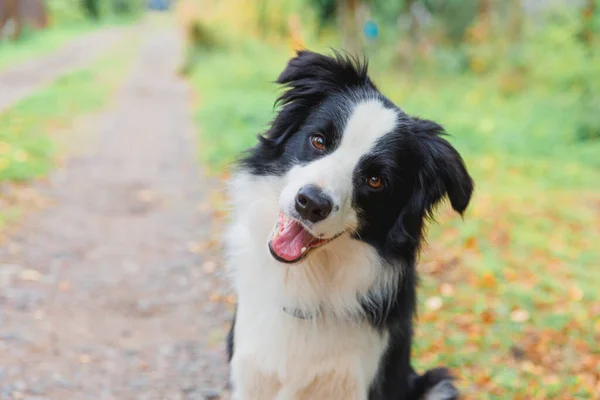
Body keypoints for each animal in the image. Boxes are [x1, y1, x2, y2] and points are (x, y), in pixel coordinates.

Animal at [225, 50, 474, 400]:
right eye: (318, 141)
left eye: (375, 180)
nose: (311, 203)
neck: (307, 284)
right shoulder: (250, 373)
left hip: (437, 383)